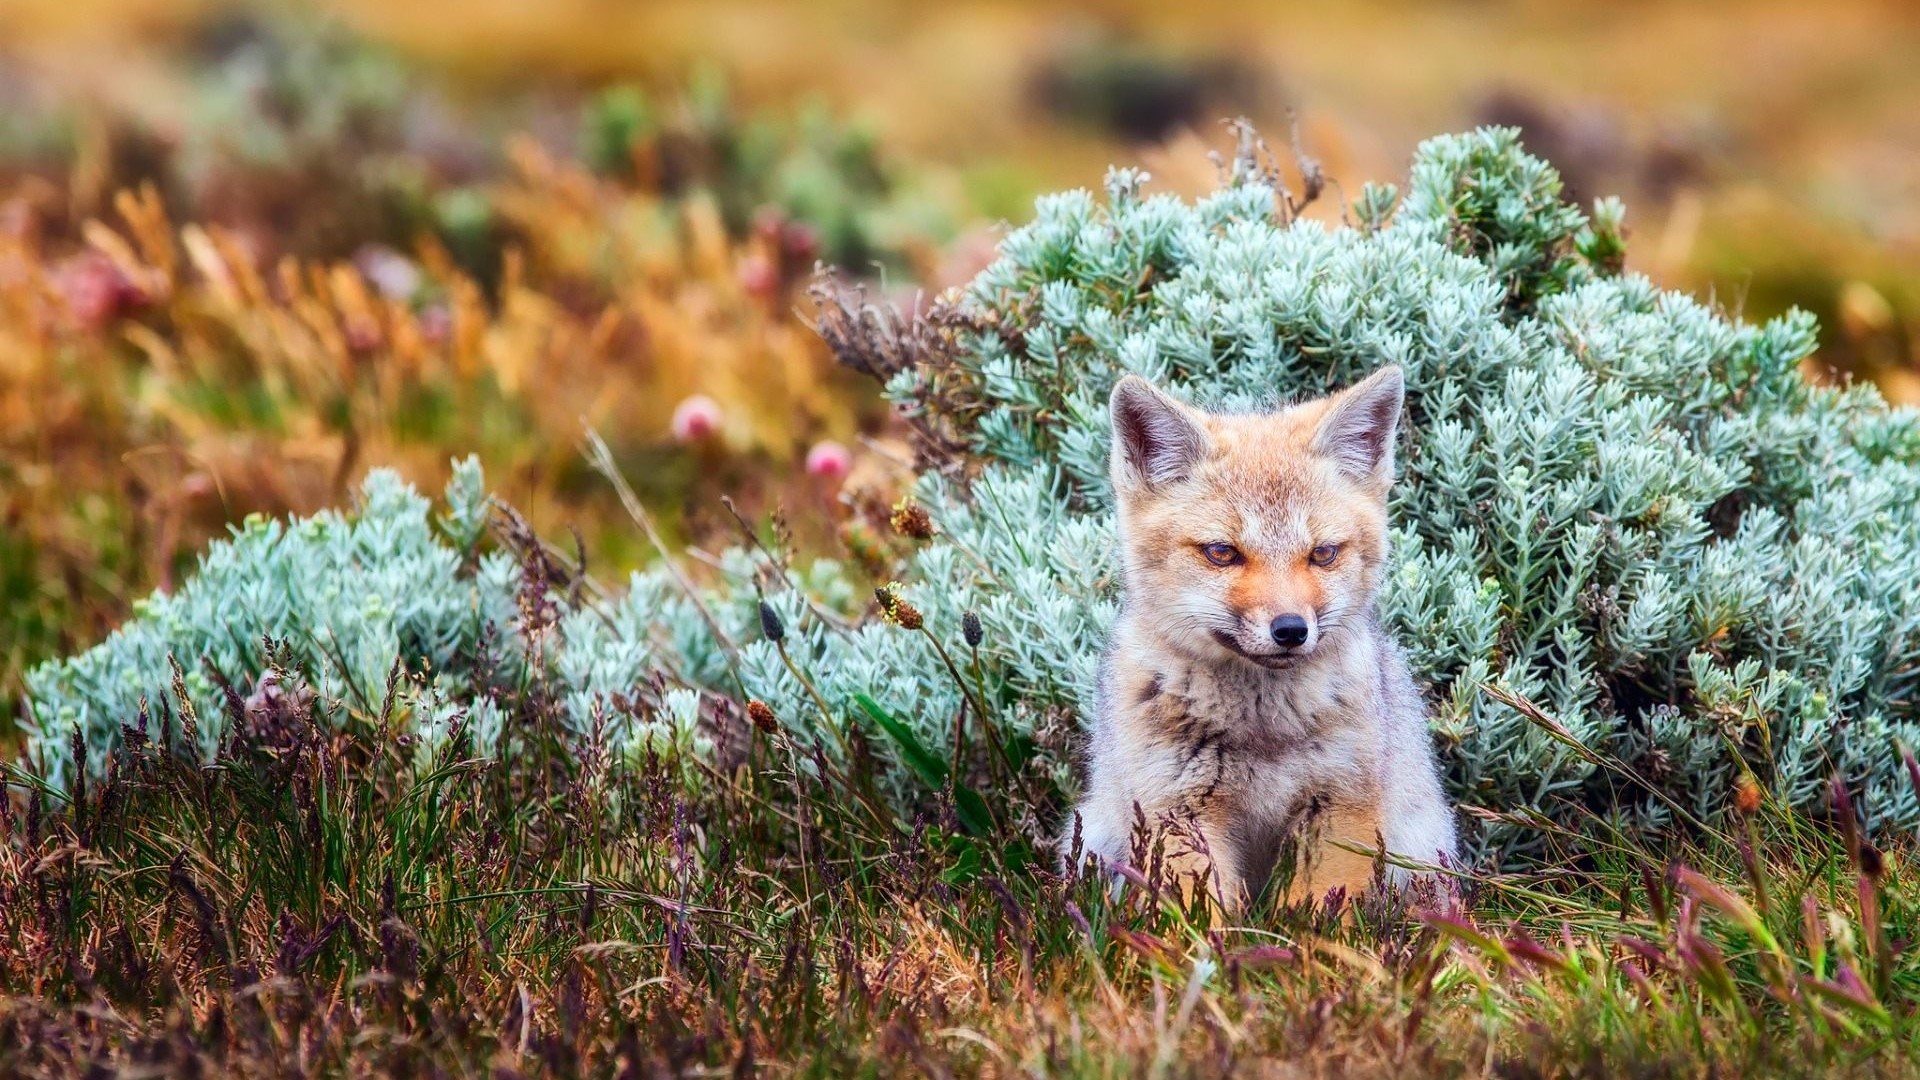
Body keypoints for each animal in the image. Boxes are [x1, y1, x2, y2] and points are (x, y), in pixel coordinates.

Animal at [1068, 365, 1457, 913]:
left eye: (1323, 553)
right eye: (1221, 552)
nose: (1291, 629)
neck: (1263, 732)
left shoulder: (1338, 808)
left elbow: (1318, 918)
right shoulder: (1180, 810)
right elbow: (1202, 920)